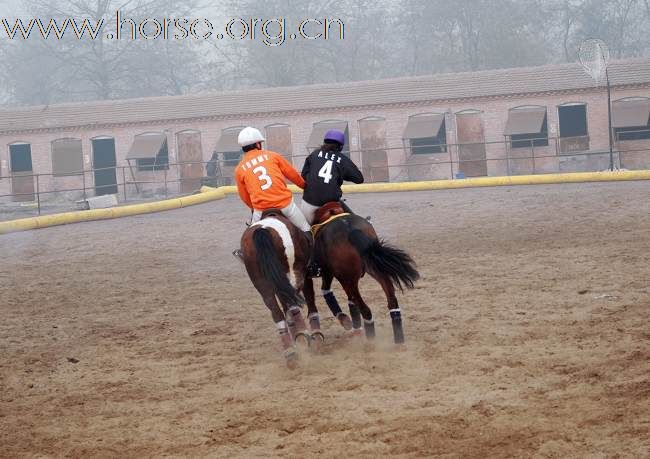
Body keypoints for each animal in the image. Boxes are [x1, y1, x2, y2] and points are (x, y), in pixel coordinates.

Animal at [310, 204, 420, 344]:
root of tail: (350, 230)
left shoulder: (330, 274)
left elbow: (328, 292)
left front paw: (346, 321)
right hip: (375, 271)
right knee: (392, 303)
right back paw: (399, 342)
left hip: (348, 280)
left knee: (365, 310)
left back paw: (370, 342)